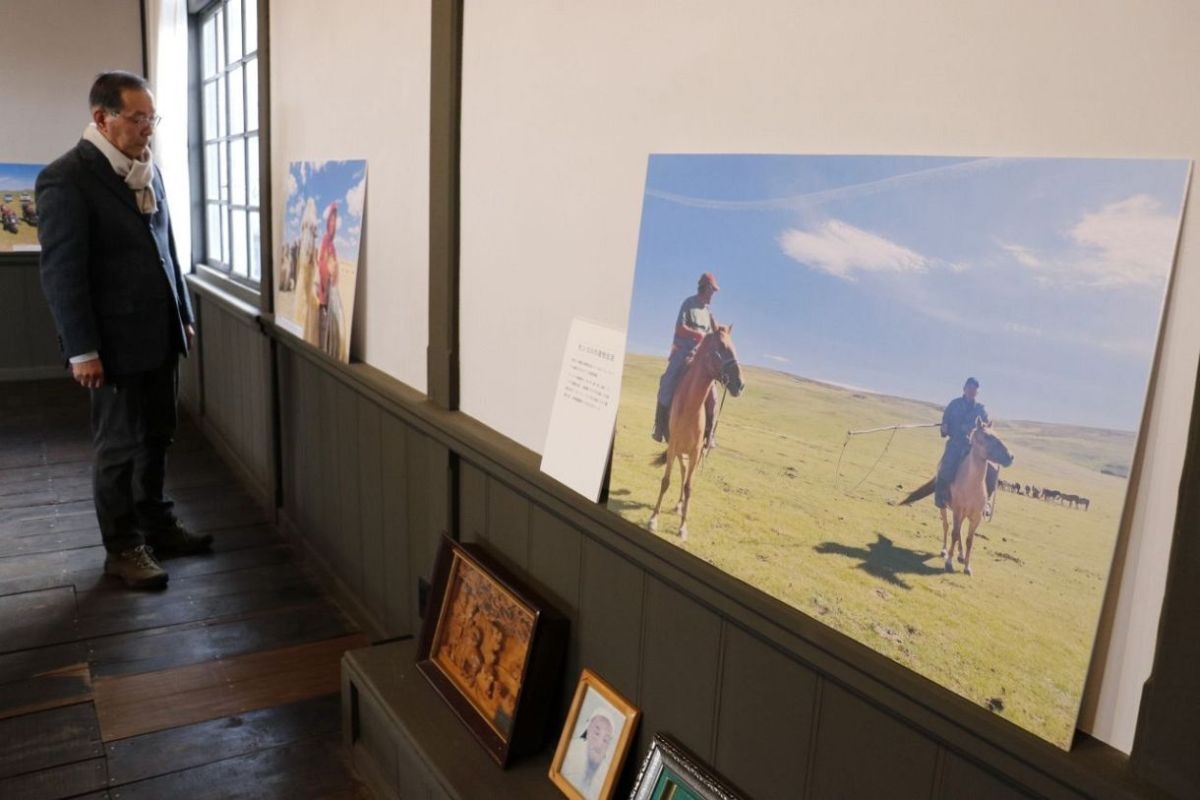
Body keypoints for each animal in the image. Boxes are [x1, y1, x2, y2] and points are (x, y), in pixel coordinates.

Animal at [648, 325, 745, 541]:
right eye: (722, 347)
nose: (740, 384)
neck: (691, 407)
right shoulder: (673, 446)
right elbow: (666, 481)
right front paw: (654, 519)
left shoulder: (696, 451)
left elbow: (689, 487)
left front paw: (683, 527)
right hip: (678, 450)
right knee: (682, 472)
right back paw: (678, 505)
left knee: (685, 477)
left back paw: (680, 506)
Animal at [901, 419, 1013, 576]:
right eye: (987, 436)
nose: (1010, 456)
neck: (971, 484)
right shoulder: (957, 510)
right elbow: (954, 533)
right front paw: (949, 563)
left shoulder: (976, 517)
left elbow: (969, 540)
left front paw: (967, 566)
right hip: (945, 508)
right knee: (947, 526)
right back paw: (944, 551)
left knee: (959, 531)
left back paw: (960, 556)